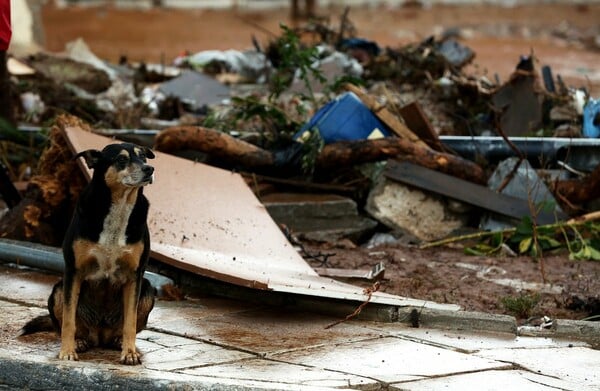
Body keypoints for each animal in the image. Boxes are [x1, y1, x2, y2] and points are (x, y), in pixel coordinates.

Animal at [21, 142, 155, 366]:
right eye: (121, 159)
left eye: (143, 157)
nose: (149, 169)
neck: (119, 206)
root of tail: (100, 335)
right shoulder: (73, 271)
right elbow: (68, 321)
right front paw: (67, 351)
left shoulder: (135, 275)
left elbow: (130, 322)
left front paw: (129, 353)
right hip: (58, 290)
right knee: (68, 326)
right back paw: (79, 342)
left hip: (148, 290)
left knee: (125, 327)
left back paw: (119, 342)